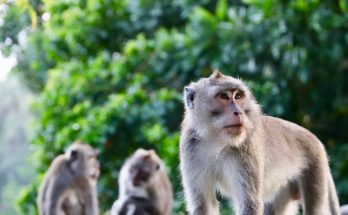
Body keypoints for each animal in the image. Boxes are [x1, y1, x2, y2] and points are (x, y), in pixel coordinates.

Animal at [179, 71, 340, 215]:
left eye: (238, 96)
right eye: (223, 96)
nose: (238, 112)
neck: (217, 140)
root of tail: (314, 138)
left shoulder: (246, 146)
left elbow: (249, 203)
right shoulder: (190, 147)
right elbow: (203, 205)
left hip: (315, 164)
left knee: (315, 209)